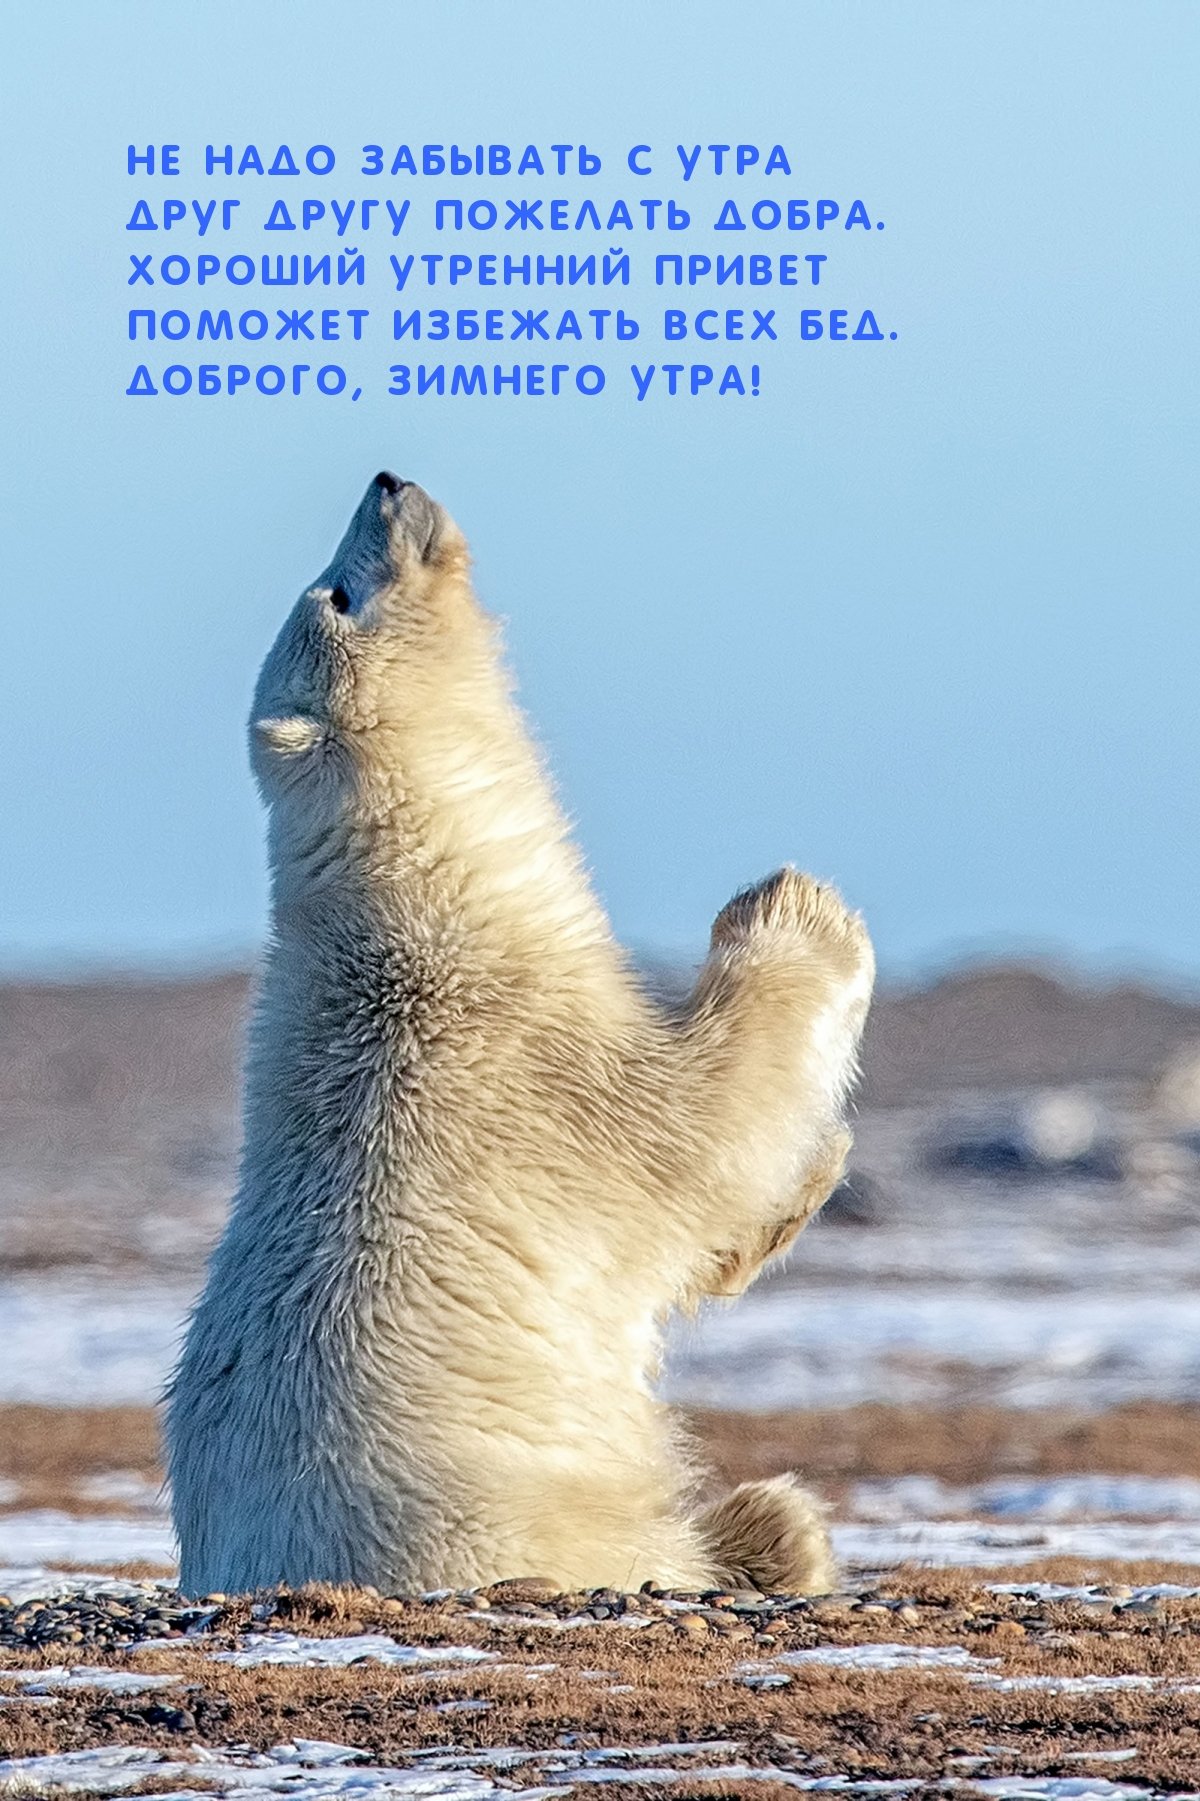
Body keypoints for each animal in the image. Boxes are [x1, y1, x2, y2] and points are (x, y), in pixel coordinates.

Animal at [165, 471, 874, 1599]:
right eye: (339, 592)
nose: (386, 482)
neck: (426, 898)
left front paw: (819, 1171)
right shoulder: (527, 1058)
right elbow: (710, 1118)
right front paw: (797, 906)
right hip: (508, 1514)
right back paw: (774, 1528)